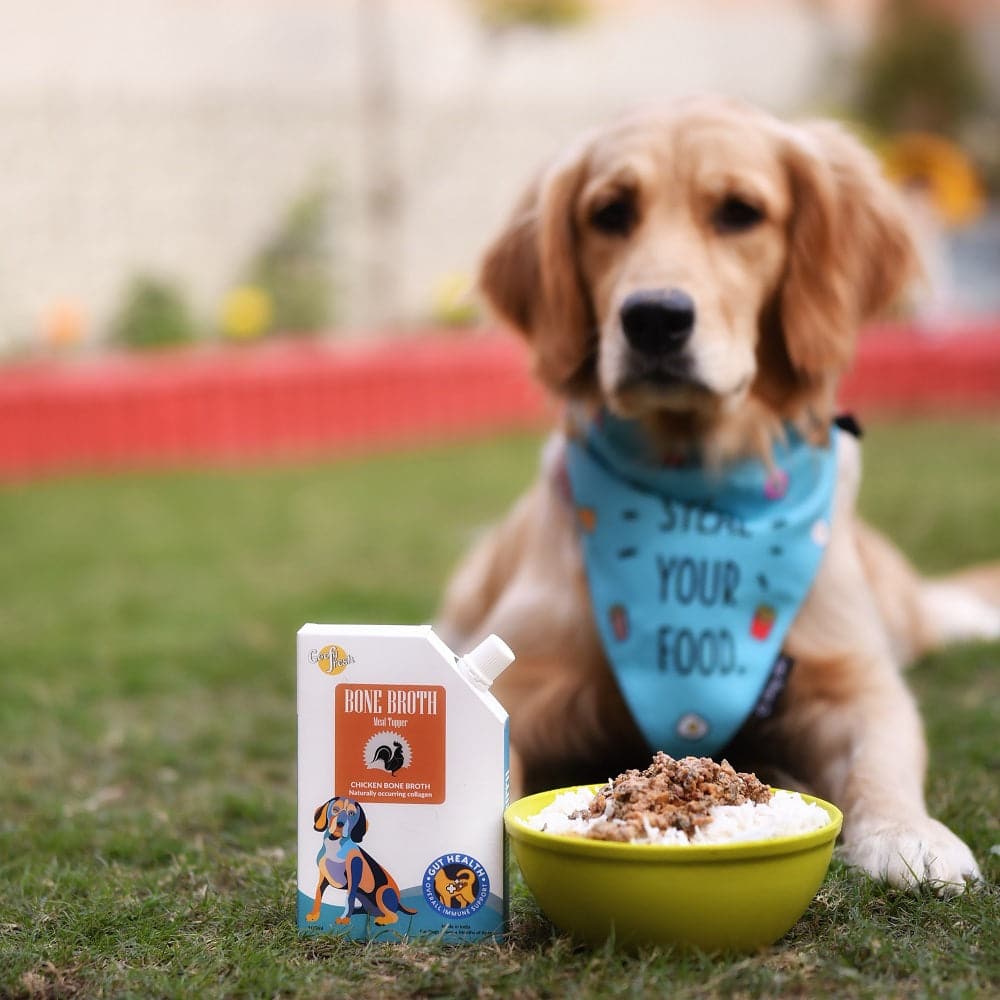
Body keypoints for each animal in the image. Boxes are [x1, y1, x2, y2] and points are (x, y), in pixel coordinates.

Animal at [302, 792, 416, 924]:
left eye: (351, 813)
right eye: (335, 809)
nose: (340, 824)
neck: (335, 844)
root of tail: (398, 903)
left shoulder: (353, 877)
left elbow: (349, 898)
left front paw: (344, 919)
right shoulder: (322, 877)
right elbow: (318, 894)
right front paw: (314, 915)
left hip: (382, 892)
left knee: (394, 916)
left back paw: (382, 920)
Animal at [440, 97, 1000, 896]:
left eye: (740, 212)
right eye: (609, 213)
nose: (653, 317)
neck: (697, 486)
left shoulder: (857, 678)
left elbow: (884, 758)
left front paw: (908, 834)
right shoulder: (525, 667)